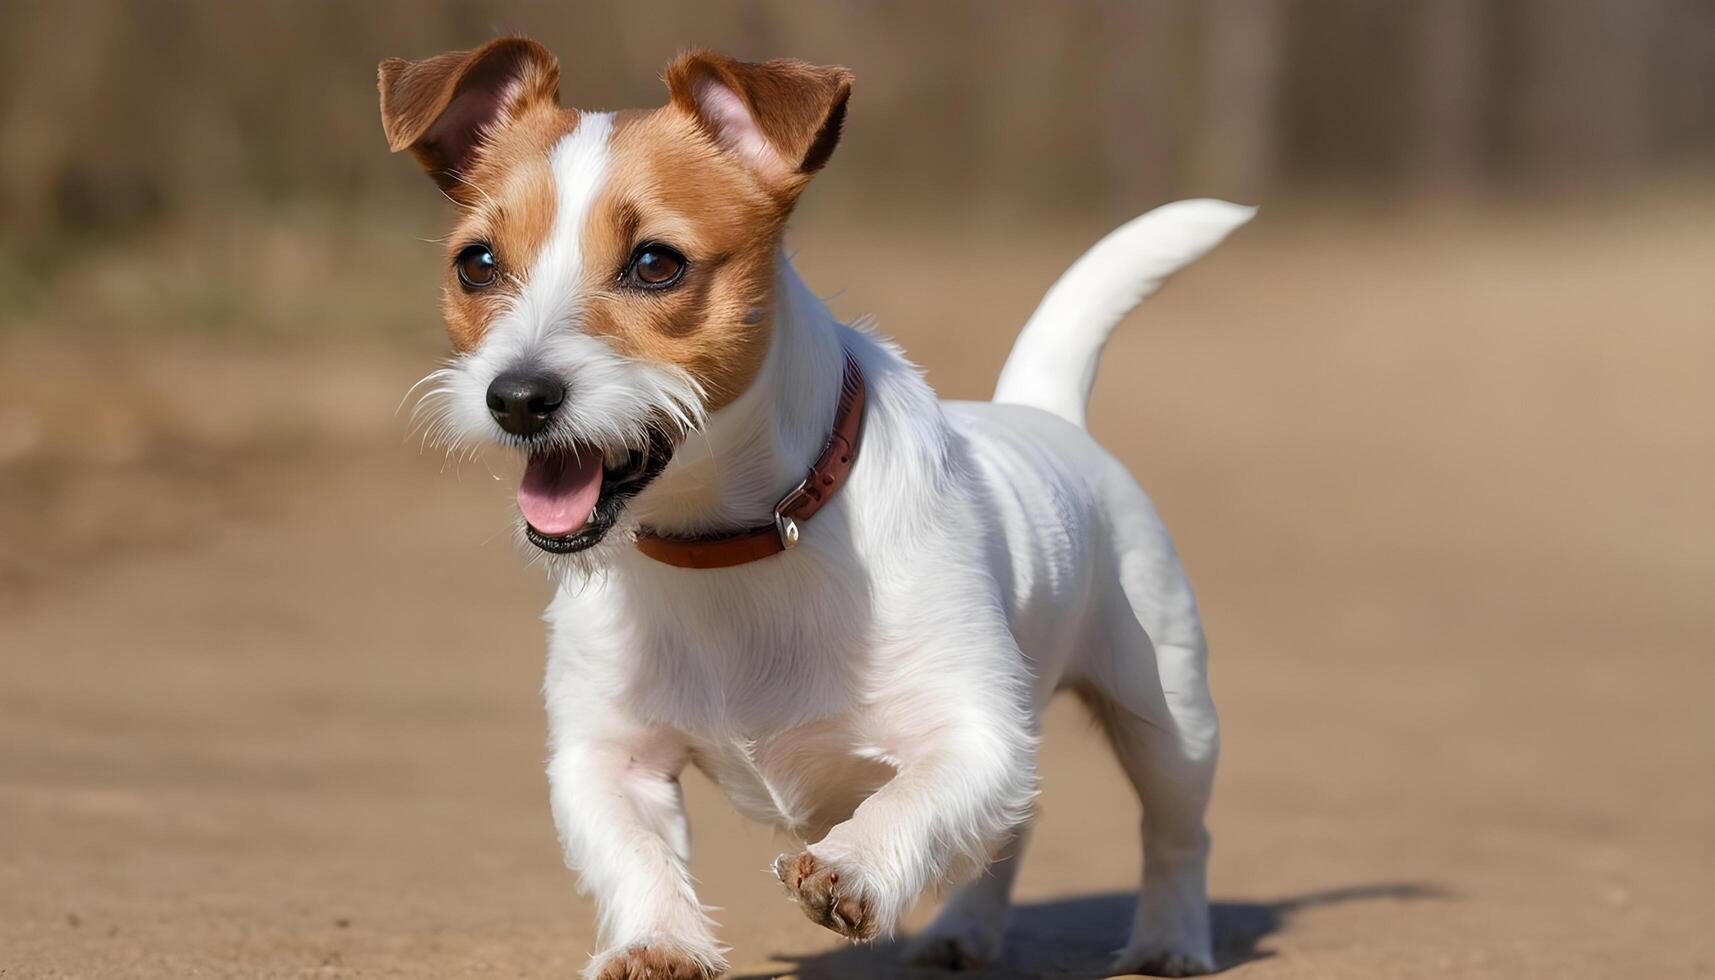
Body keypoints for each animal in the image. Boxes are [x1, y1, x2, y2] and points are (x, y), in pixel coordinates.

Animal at [382, 38, 1255, 980]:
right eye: (476, 263)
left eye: (655, 263)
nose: (516, 398)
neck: (729, 543)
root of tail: (1043, 409)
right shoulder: (607, 755)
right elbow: (635, 853)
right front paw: (658, 940)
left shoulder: (973, 734)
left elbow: (913, 802)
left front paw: (853, 866)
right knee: (1008, 835)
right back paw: (963, 932)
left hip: (1168, 717)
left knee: (1174, 830)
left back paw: (1170, 940)